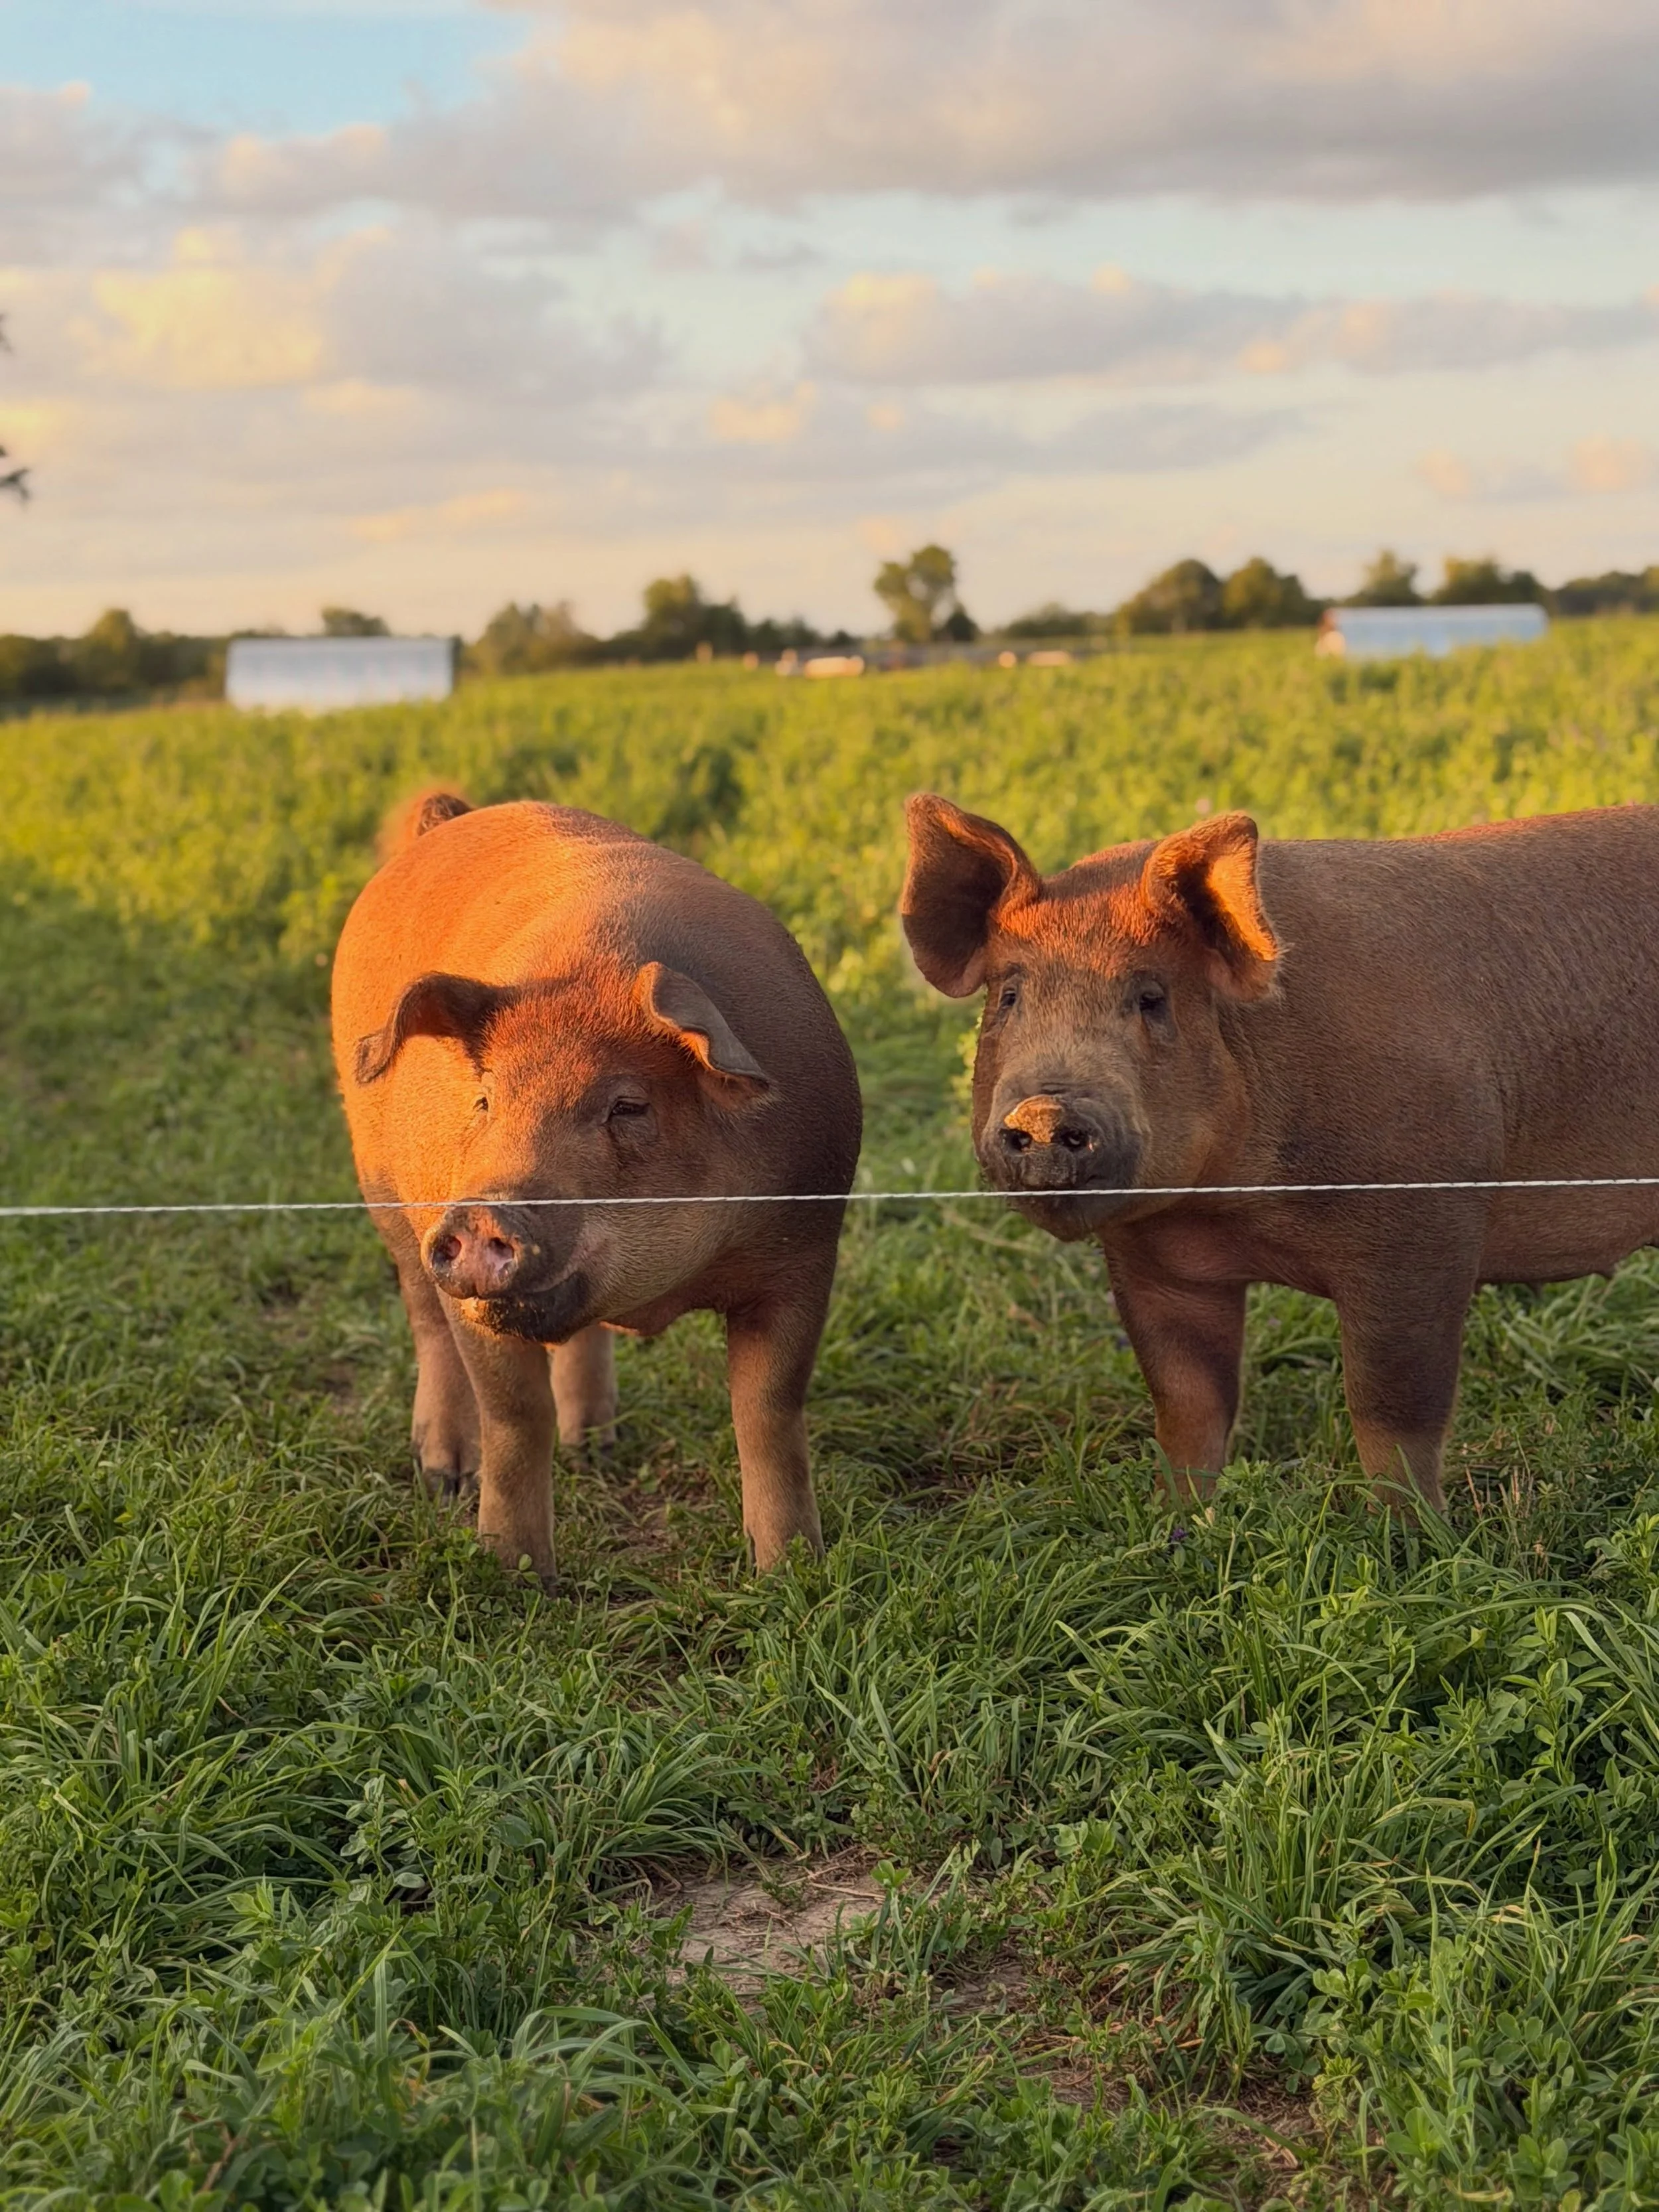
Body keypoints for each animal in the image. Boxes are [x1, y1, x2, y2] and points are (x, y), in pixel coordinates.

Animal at [332, 791, 860, 1585]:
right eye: (484, 1100)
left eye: (629, 1106)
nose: (486, 1211)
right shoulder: (471, 1299)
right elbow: (515, 1417)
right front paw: (514, 1575)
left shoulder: (805, 1250)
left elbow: (767, 1411)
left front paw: (790, 1572)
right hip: (391, 1203)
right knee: (426, 1319)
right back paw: (443, 1476)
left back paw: (595, 1447)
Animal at [902, 793, 1659, 1513]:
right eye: (1009, 996)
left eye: (1150, 997)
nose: (1045, 1111)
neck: (1234, 1210)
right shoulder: (1152, 1259)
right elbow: (1187, 1405)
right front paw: (1178, 1526)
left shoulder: (1424, 1226)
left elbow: (1391, 1413)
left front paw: (1409, 1538)